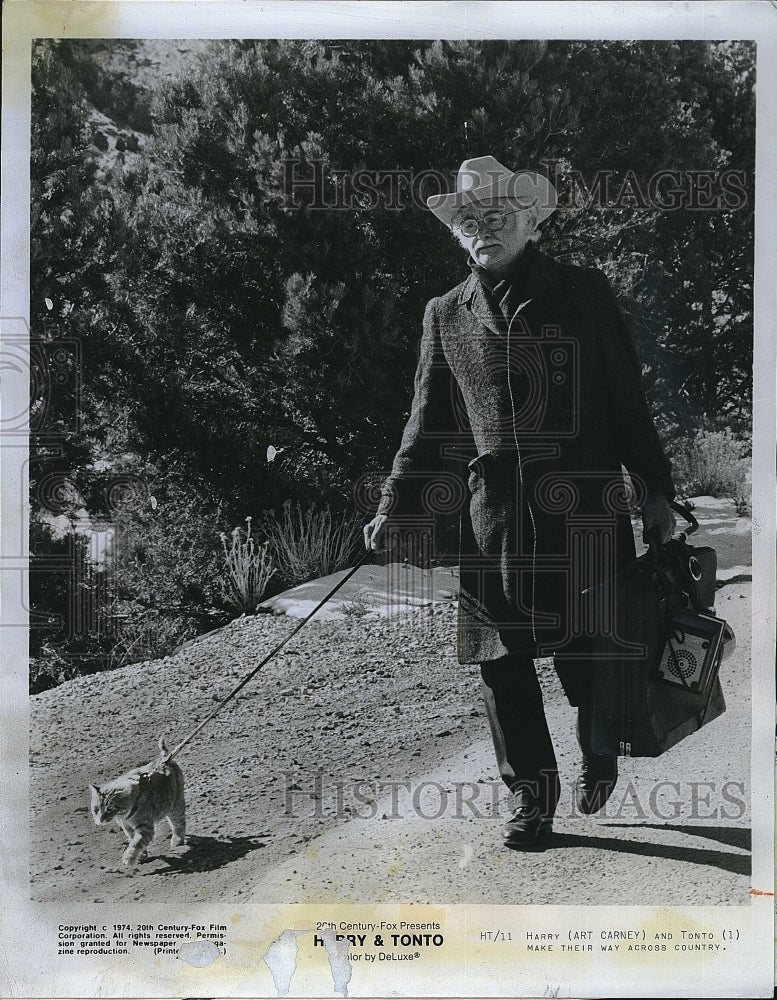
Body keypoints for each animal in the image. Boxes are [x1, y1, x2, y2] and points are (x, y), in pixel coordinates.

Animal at [88, 740, 186, 872]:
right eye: (96, 809)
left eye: (110, 808)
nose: (100, 820)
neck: (125, 816)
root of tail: (164, 759)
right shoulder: (127, 827)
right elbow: (133, 840)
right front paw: (141, 855)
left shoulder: (145, 826)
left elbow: (136, 843)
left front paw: (129, 857)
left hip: (176, 805)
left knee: (179, 822)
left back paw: (178, 840)